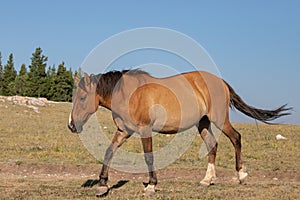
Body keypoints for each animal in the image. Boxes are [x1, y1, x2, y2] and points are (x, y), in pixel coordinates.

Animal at [67, 69, 290, 195]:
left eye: (81, 98)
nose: (71, 125)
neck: (129, 94)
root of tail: (220, 81)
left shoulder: (145, 130)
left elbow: (149, 157)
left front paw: (151, 186)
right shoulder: (123, 131)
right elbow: (108, 152)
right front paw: (102, 185)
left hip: (219, 119)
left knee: (236, 138)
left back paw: (241, 175)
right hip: (203, 123)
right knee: (212, 145)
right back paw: (207, 180)